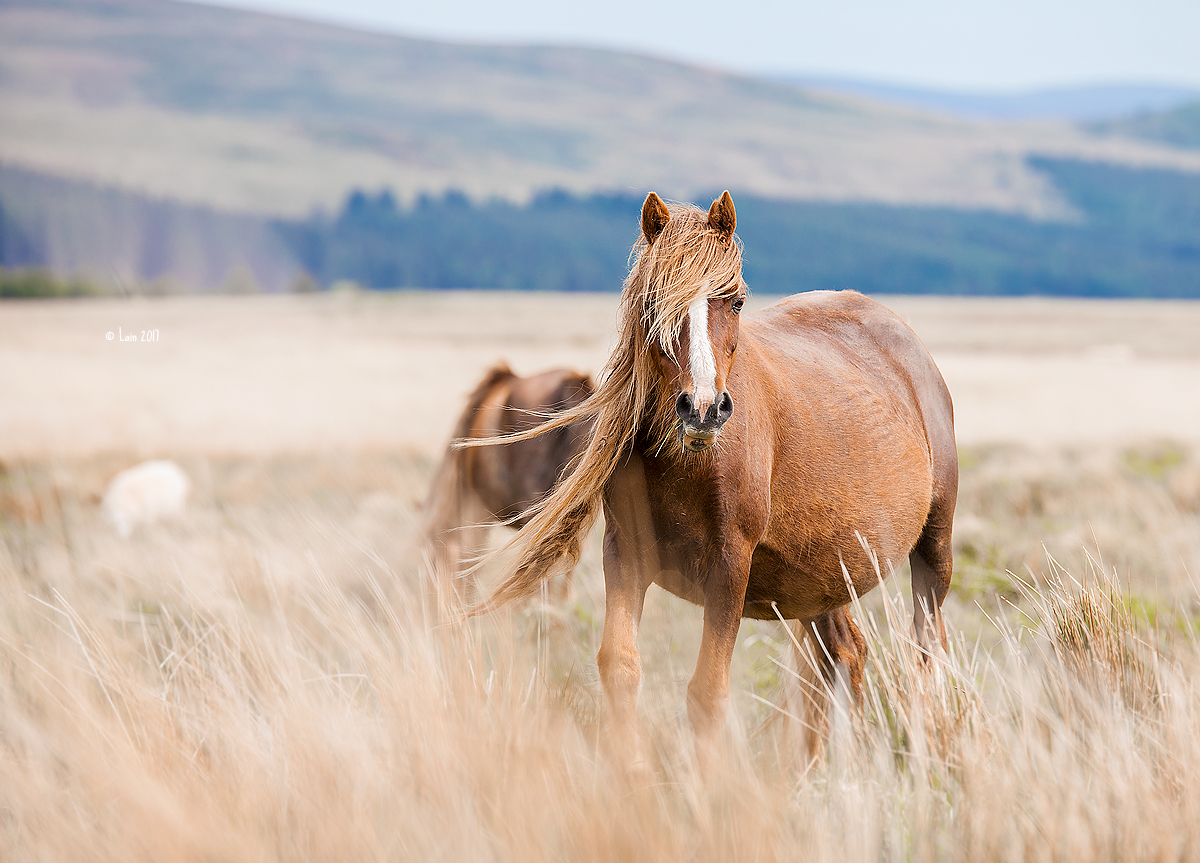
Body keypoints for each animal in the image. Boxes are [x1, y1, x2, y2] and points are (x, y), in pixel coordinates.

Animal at [465, 192, 955, 772]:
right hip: (823, 577)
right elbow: (620, 665)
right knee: (843, 655)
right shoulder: (626, 554)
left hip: (933, 551)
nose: (702, 409)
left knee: (925, 655)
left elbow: (706, 691)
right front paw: (629, 772)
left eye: (736, 301)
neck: (690, 462)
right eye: (653, 302)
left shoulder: (730, 564)